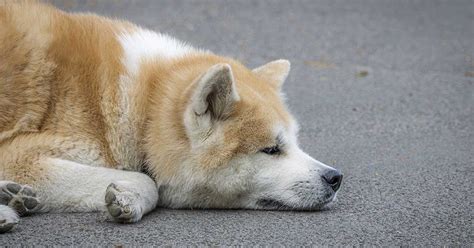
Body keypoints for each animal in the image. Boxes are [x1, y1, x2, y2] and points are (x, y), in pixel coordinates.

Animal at [0, 0, 342, 232]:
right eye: (271, 149)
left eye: (295, 143)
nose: (335, 178)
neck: (143, 110)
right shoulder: (19, 154)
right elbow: (146, 181)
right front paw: (129, 198)